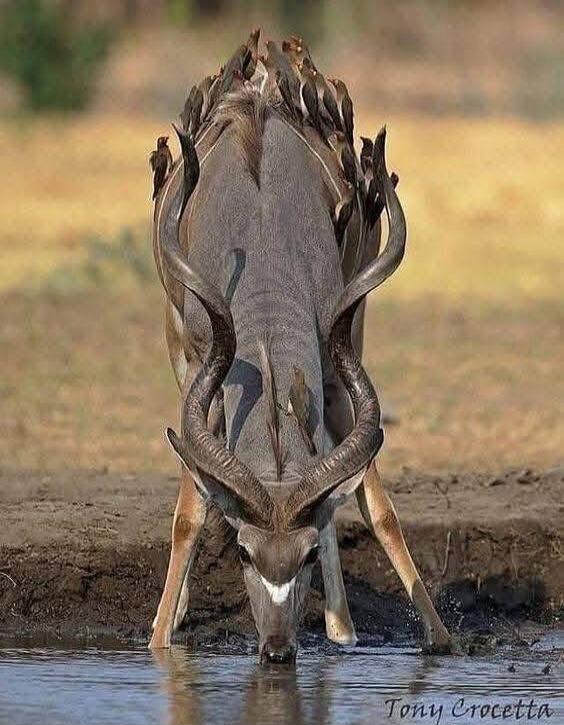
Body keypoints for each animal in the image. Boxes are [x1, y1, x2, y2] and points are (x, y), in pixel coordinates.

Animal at [149, 31, 451, 663]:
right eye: (244, 552)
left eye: (305, 554)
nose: (277, 649)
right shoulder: (196, 361)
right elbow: (192, 507)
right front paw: (161, 635)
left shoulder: (340, 356)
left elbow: (372, 501)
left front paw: (435, 635)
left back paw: (342, 629)